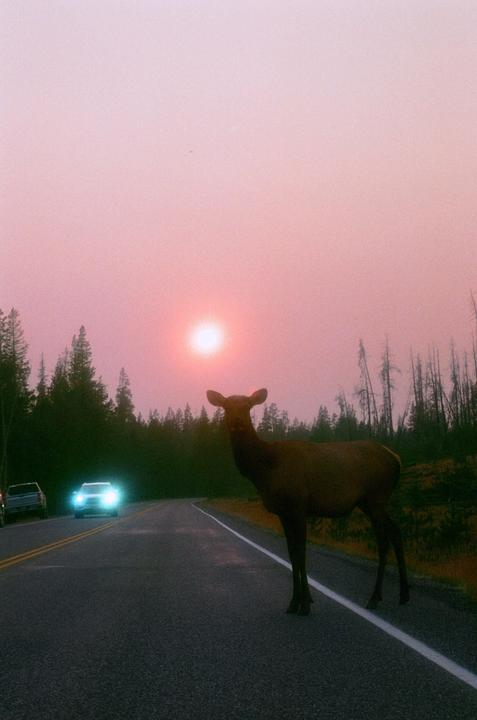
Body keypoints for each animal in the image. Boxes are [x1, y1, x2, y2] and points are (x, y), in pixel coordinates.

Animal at [207, 388, 410, 616]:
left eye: (247, 406)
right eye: (226, 406)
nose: (237, 421)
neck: (264, 470)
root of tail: (396, 459)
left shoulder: (298, 505)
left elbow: (301, 552)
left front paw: (304, 603)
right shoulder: (283, 512)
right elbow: (292, 553)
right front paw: (294, 602)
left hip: (377, 497)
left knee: (383, 541)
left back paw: (375, 598)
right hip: (368, 502)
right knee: (396, 531)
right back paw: (403, 594)